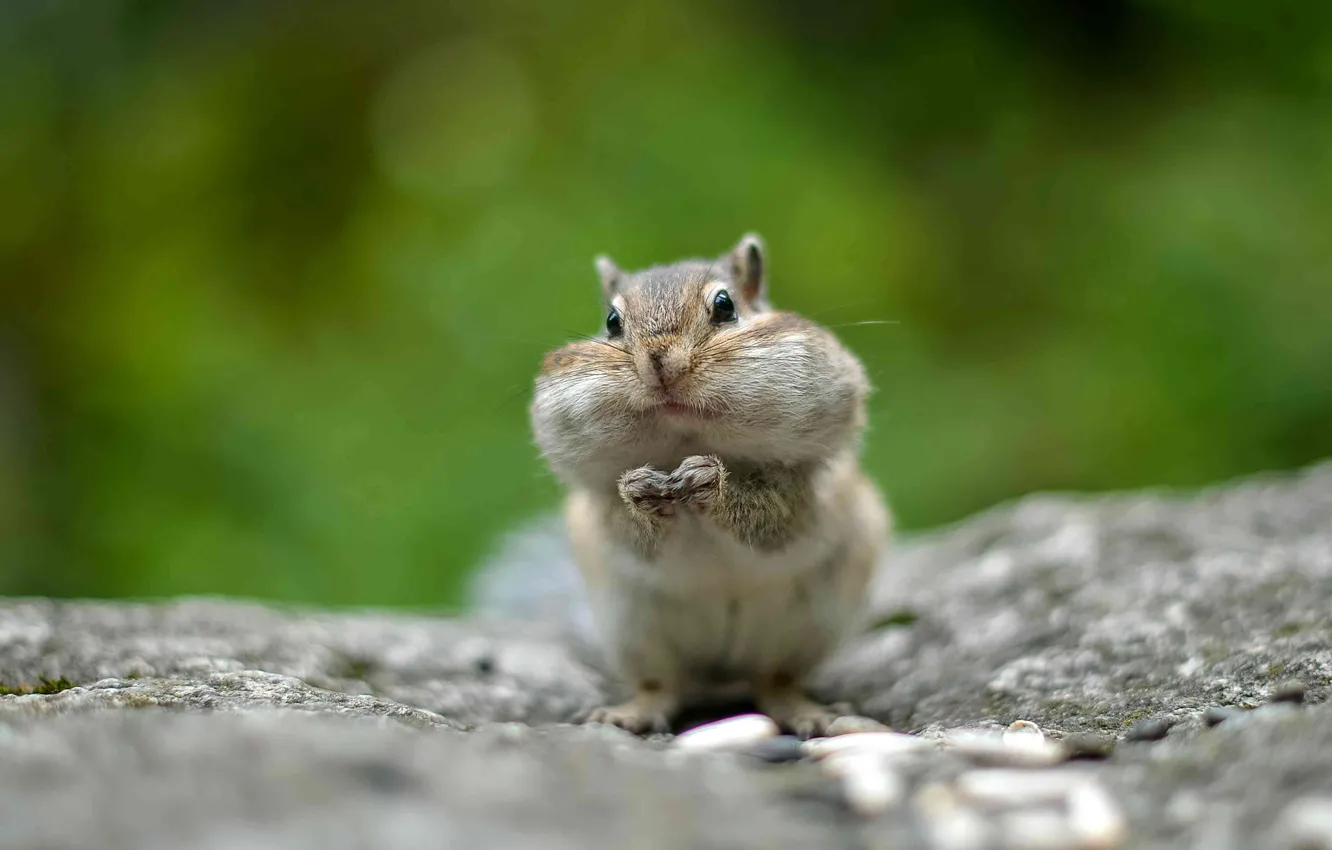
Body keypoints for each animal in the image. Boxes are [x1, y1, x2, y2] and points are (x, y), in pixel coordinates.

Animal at [527, 234, 891, 737]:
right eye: (612, 322)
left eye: (724, 305)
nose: (660, 361)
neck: (685, 443)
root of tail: (722, 675)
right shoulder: (597, 511)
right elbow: (627, 529)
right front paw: (639, 490)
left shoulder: (805, 493)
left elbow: (772, 518)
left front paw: (709, 482)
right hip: (635, 631)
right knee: (664, 685)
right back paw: (628, 713)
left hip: (804, 630)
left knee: (775, 681)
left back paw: (809, 712)